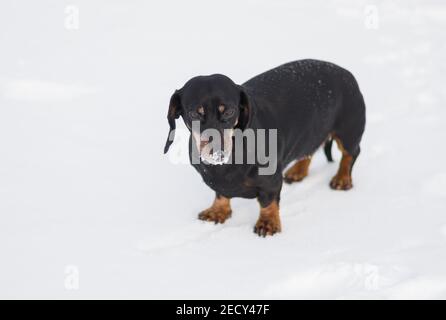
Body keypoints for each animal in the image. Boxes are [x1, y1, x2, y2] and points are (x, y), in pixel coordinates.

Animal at [164, 59, 366, 238]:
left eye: (229, 111)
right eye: (193, 113)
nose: (216, 151)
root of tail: (345, 72)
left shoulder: (271, 182)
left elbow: (268, 203)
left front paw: (268, 224)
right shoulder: (218, 183)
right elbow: (221, 194)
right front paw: (217, 211)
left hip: (348, 131)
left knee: (351, 154)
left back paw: (342, 179)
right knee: (308, 152)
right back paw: (297, 171)